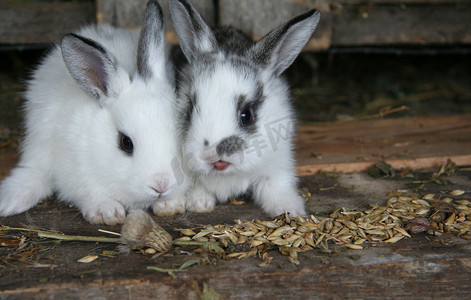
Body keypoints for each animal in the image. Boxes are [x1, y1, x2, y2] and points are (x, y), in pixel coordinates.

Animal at [0, 0, 188, 225]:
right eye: (125, 143)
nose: (161, 184)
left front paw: (171, 204)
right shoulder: (76, 174)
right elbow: (89, 193)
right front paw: (107, 212)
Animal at [165, 0, 320, 217]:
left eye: (246, 116)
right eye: (189, 109)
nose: (213, 157)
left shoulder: (277, 166)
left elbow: (276, 187)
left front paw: (290, 209)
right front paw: (199, 203)